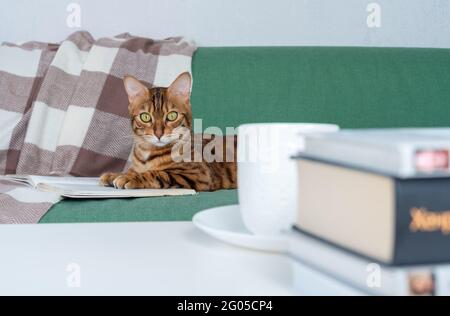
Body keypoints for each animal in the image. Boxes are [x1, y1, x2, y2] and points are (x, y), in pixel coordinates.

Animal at [100, 72, 237, 191]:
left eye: (172, 116)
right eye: (145, 117)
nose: (158, 134)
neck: (147, 152)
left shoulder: (198, 173)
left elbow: (156, 173)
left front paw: (130, 177)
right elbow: (133, 170)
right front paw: (115, 175)